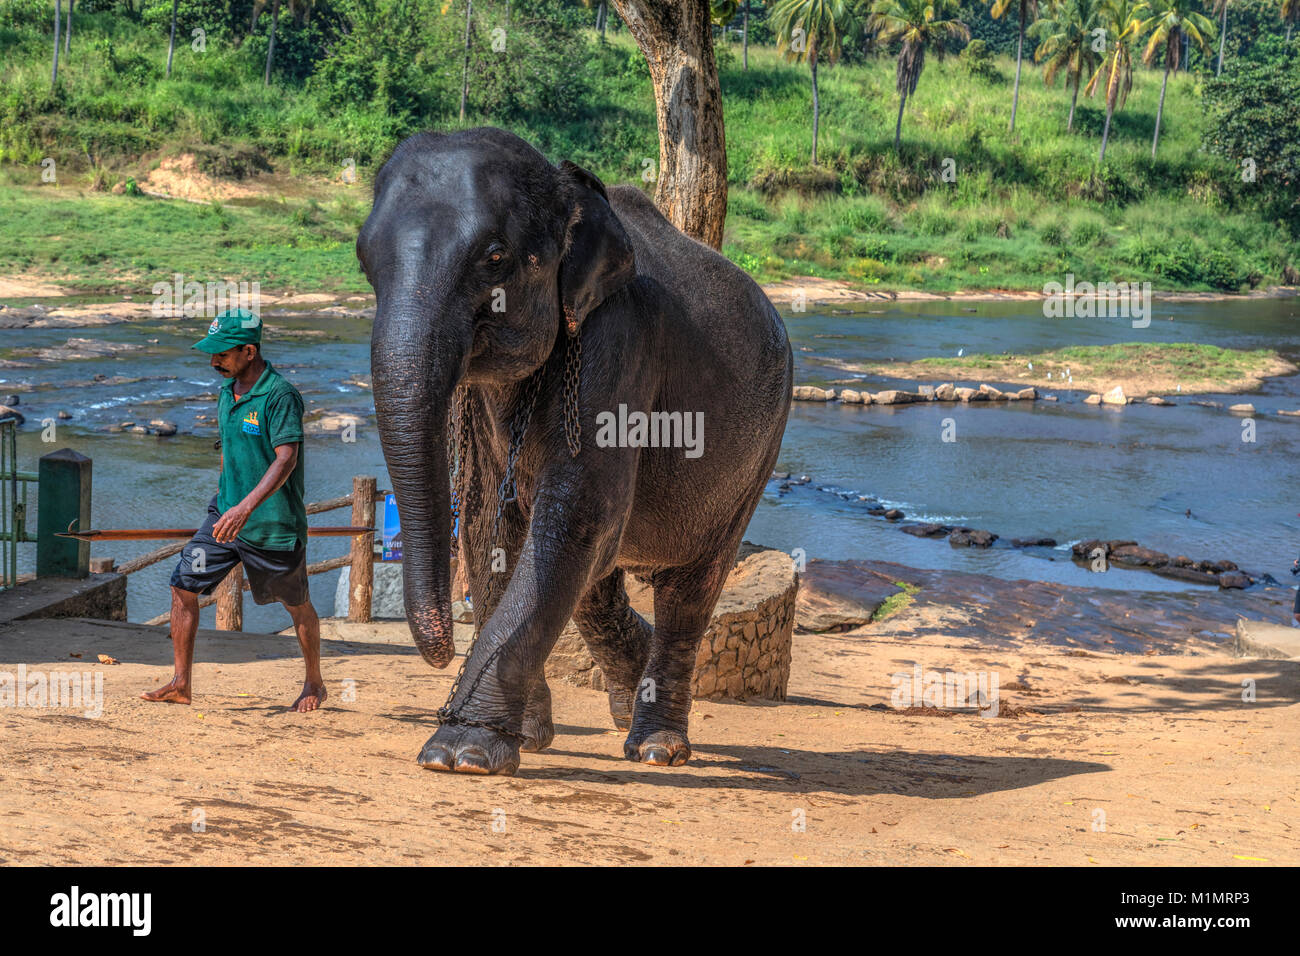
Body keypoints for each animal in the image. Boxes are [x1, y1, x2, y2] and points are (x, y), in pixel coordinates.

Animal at [361, 128, 795, 780]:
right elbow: (491, 524)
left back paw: (656, 746)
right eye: (364, 259)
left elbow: (577, 515)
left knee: (687, 589)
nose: (440, 651)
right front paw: (527, 737)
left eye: (495, 258)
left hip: (758, 454)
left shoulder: (621, 344)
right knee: (598, 583)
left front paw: (461, 754)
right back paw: (627, 699)